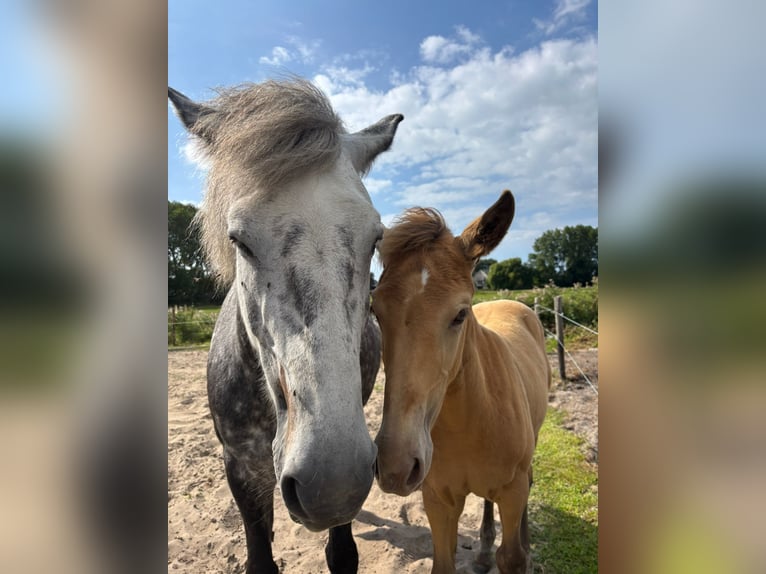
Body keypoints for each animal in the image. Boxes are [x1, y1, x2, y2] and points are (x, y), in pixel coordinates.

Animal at [371, 190, 551, 574]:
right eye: (375, 310)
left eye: (460, 314)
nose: (396, 465)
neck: (474, 420)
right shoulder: (438, 500)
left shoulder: (512, 492)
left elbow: (512, 557)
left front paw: (522, 552)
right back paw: (482, 552)